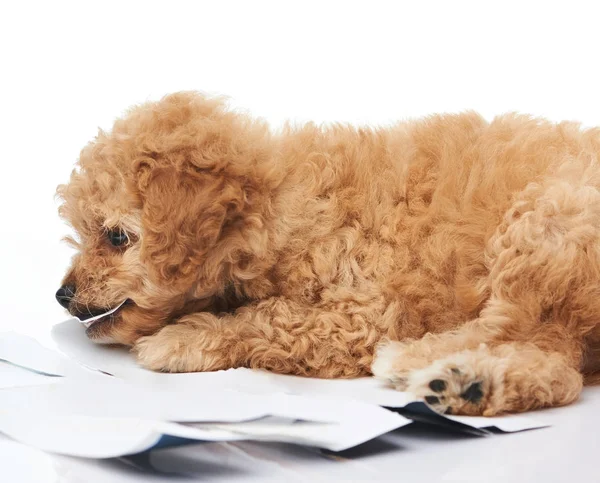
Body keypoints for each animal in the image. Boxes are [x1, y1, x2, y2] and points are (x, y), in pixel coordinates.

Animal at [56, 92, 600, 418]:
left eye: (116, 237)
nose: (62, 294)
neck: (278, 205)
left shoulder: (361, 315)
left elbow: (270, 319)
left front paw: (183, 339)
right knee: (560, 369)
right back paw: (467, 383)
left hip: (546, 219)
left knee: (510, 327)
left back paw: (417, 360)